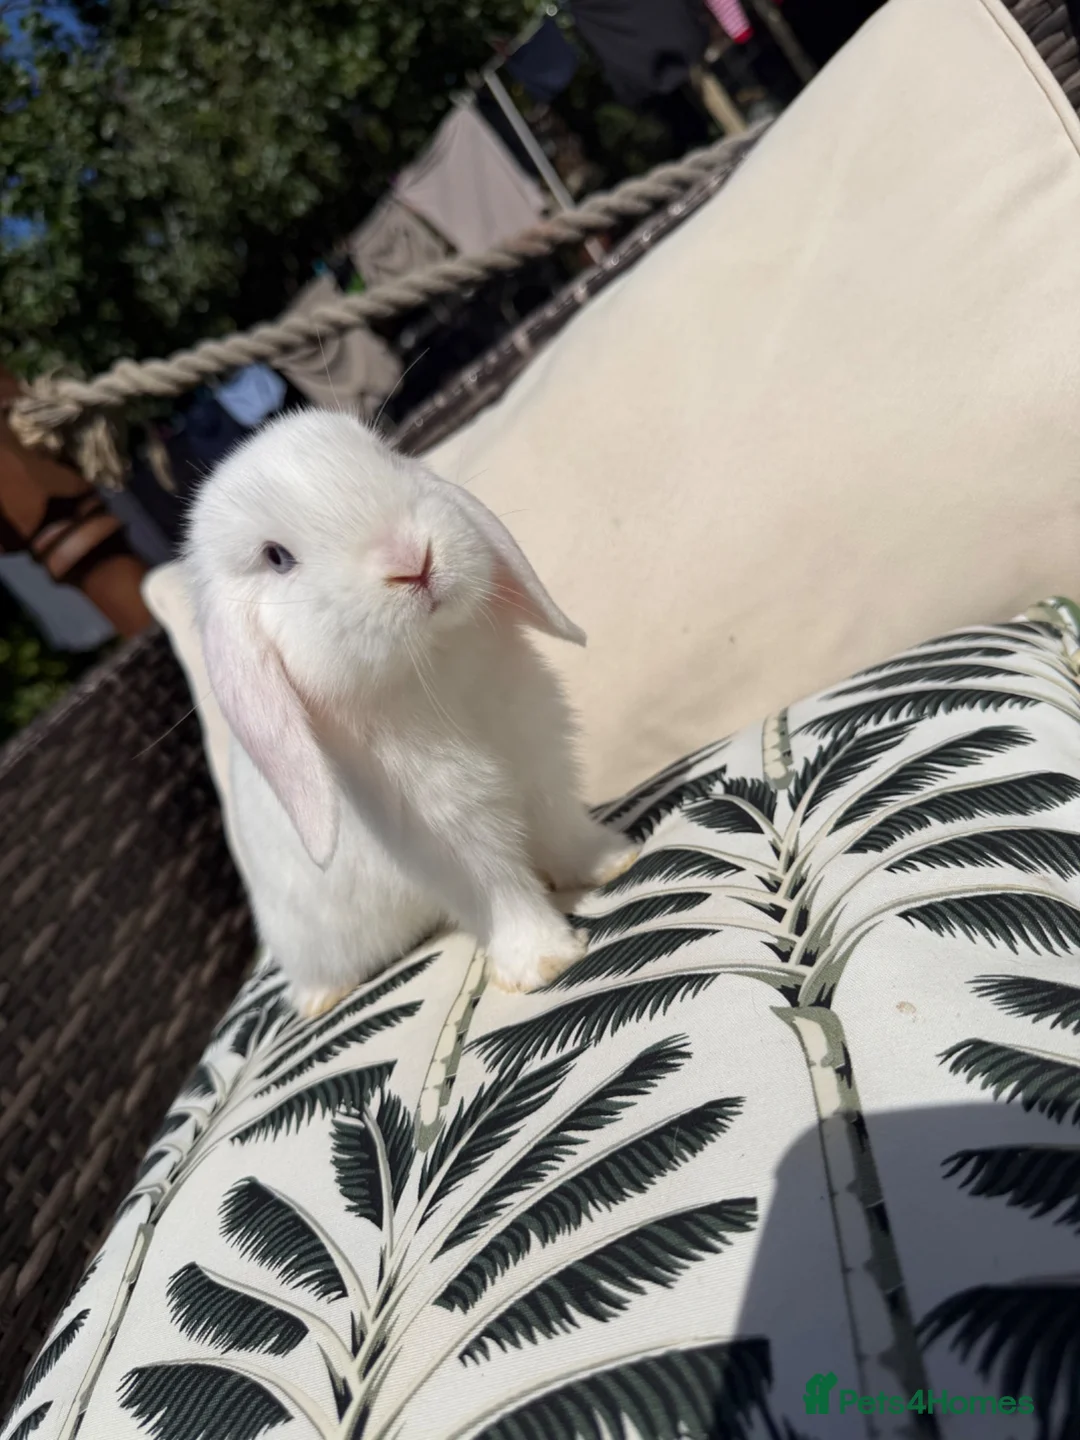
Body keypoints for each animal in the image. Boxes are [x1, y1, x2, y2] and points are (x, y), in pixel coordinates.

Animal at [184, 408, 637, 1018]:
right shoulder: (449, 836)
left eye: (387, 458)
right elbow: (501, 892)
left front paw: (613, 860)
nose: (411, 560)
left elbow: (565, 830)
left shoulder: (540, 765)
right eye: (276, 557)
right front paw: (544, 963)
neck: (433, 669)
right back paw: (322, 1000)